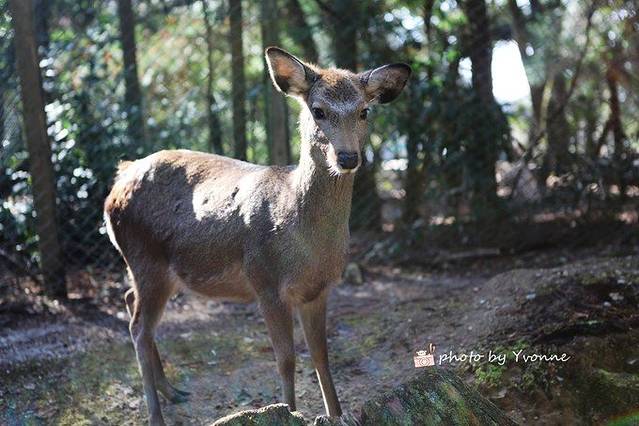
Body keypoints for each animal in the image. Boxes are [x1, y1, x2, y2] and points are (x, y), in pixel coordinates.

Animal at [104, 46, 410, 425]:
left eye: (364, 111)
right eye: (318, 110)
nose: (348, 157)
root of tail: (119, 181)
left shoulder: (320, 288)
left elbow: (322, 356)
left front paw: (337, 414)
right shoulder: (265, 282)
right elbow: (286, 359)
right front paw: (289, 411)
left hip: (159, 271)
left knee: (132, 303)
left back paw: (174, 391)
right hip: (144, 257)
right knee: (138, 328)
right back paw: (157, 414)